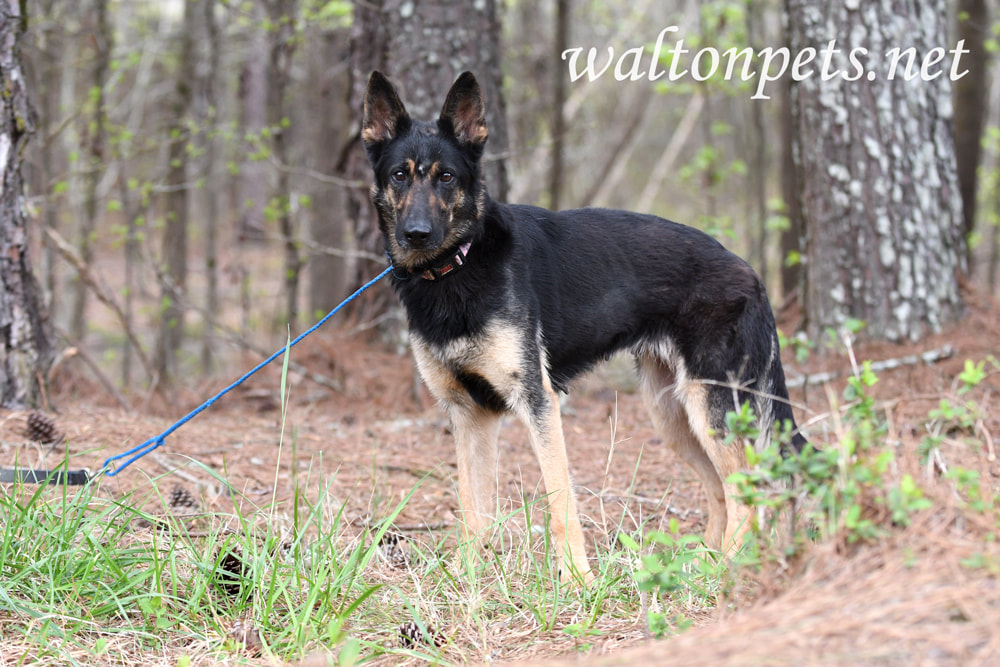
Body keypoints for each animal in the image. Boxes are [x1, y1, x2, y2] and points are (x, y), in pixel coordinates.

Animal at [360, 69, 804, 580]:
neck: (455, 267)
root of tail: (750, 271)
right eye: (399, 175)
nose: (416, 234)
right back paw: (698, 566)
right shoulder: (470, 415)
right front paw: (466, 576)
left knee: (750, 491)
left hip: (712, 409)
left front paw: (577, 580)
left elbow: (560, 503)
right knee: (722, 490)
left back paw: (726, 570)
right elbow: (475, 508)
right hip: (673, 415)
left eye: (446, 177)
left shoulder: (538, 403)